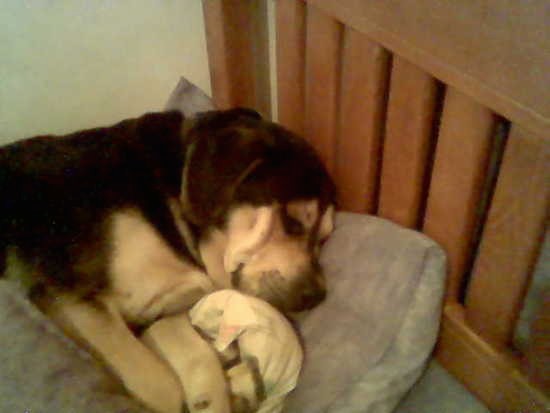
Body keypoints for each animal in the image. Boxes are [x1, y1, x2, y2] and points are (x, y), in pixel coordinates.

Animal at [0, 108, 336, 410]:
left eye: (324, 239)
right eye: (293, 222)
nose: (316, 297)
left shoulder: (160, 312)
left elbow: (198, 358)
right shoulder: (72, 295)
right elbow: (161, 386)